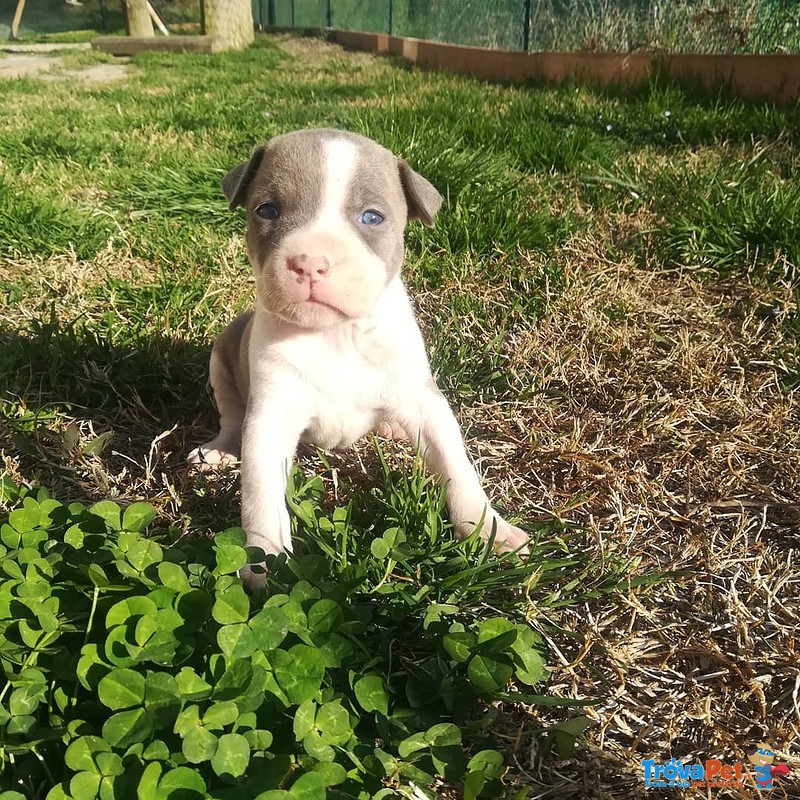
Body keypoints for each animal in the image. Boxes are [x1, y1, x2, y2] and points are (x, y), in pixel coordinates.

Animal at [190, 130, 528, 580]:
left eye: (372, 217)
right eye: (267, 210)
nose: (310, 262)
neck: (335, 334)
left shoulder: (423, 402)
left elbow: (457, 466)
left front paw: (490, 531)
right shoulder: (270, 419)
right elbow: (261, 498)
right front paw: (265, 565)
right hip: (223, 354)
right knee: (231, 415)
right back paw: (220, 449)